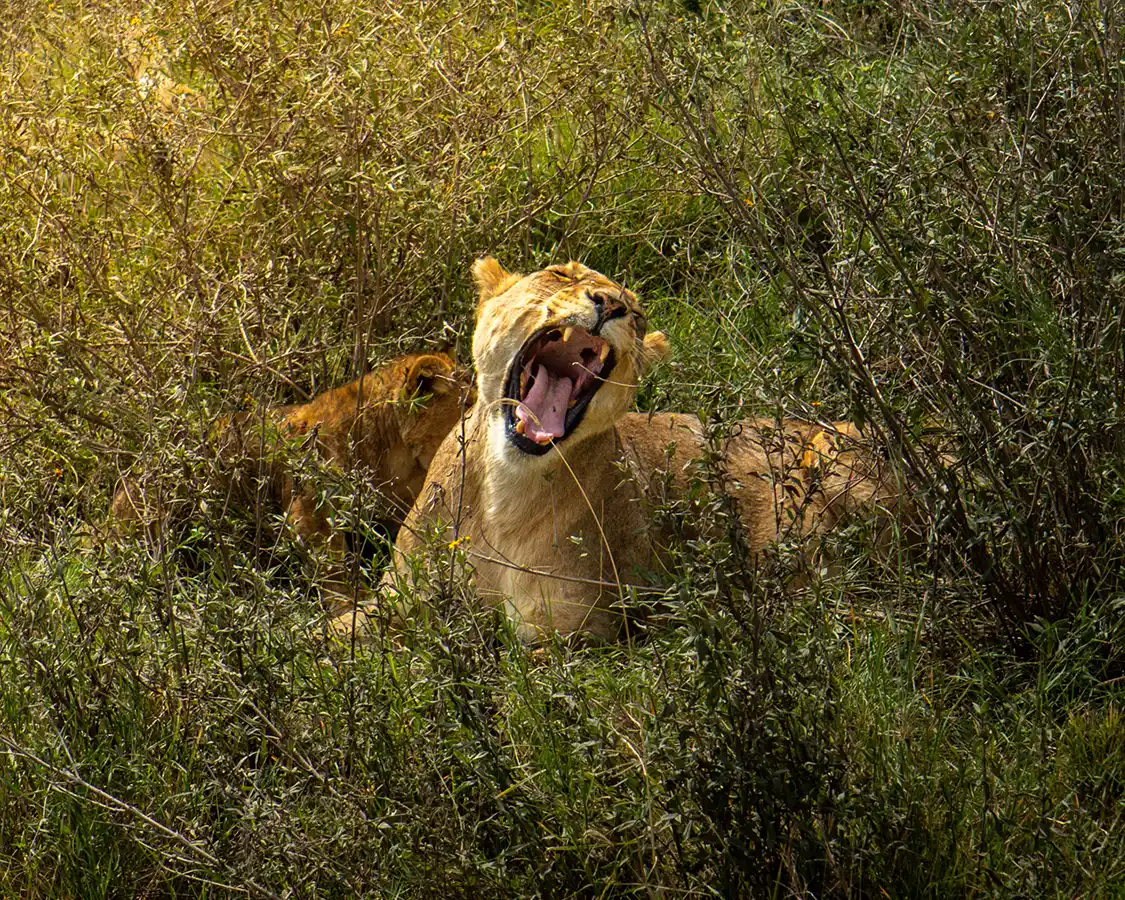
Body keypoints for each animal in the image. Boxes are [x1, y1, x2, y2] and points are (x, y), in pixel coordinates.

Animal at [339, 260, 902, 641]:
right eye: (560, 273)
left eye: (636, 314)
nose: (610, 305)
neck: (503, 491)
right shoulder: (394, 599)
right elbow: (334, 639)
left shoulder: (573, 635)